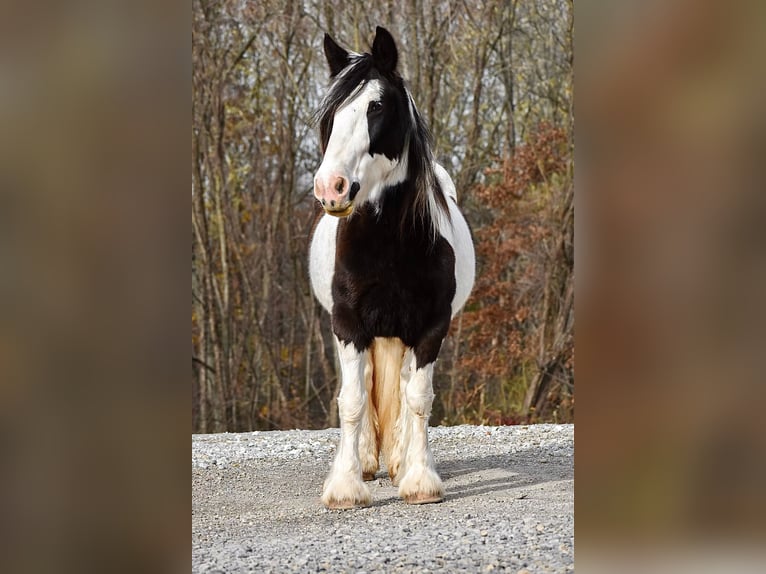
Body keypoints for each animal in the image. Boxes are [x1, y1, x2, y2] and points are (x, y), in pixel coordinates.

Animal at [308, 28, 474, 512]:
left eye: (376, 106)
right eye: (330, 113)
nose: (330, 188)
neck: (387, 244)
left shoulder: (432, 326)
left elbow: (417, 398)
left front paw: (420, 481)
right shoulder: (348, 325)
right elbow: (352, 400)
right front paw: (346, 486)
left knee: (400, 388)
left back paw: (400, 460)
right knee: (364, 385)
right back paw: (366, 460)